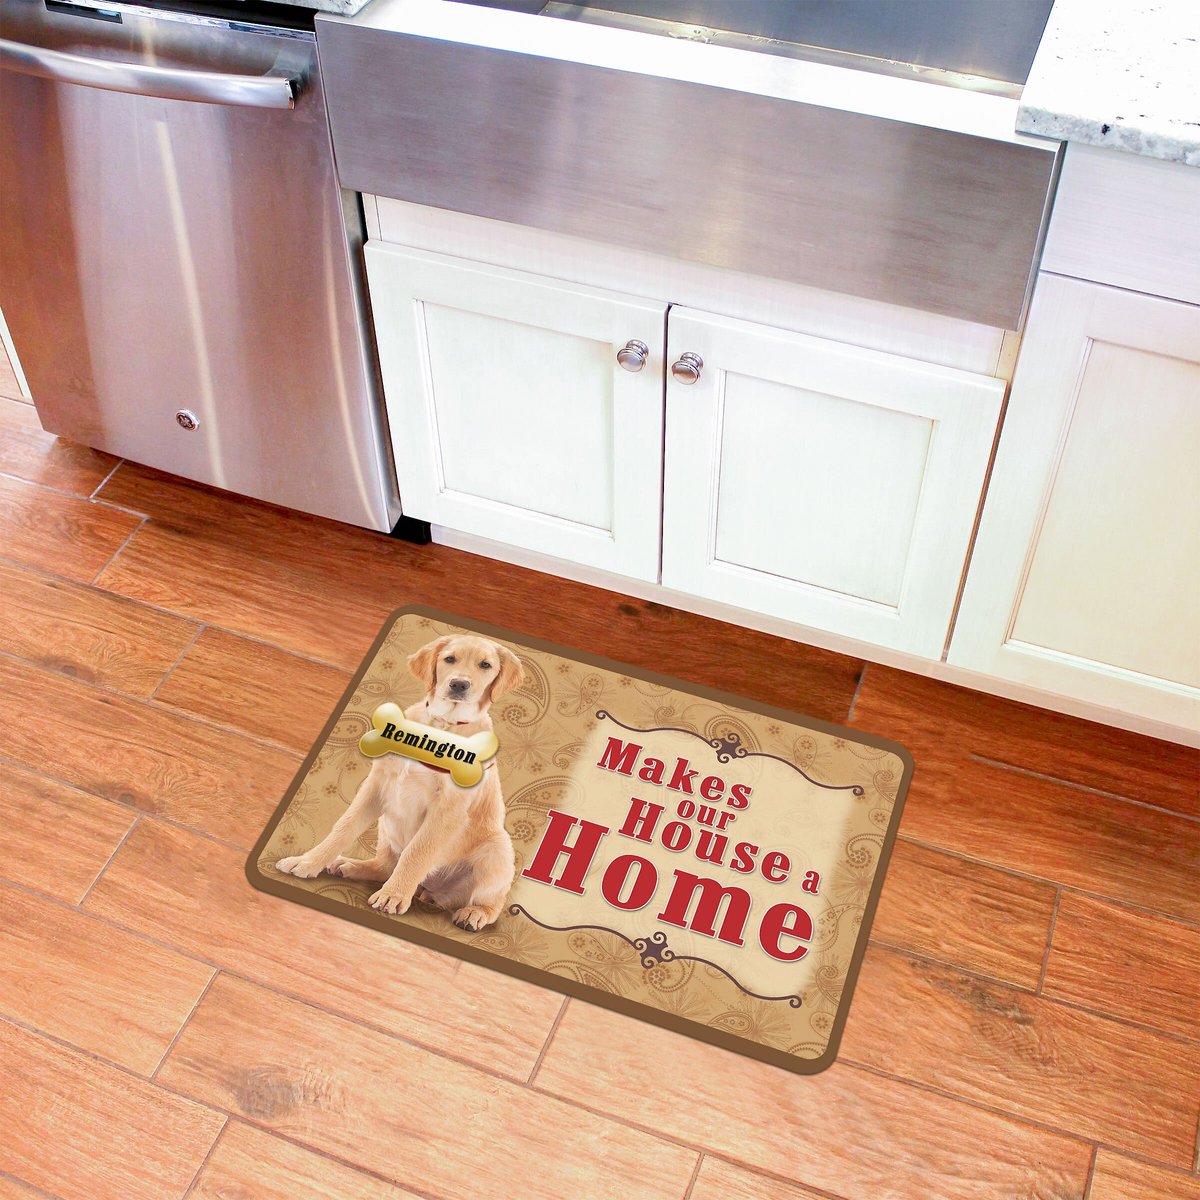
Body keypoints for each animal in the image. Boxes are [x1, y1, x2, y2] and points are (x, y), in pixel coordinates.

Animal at [283, 633, 528, 931]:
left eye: (485, 665)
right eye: (449, 659)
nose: (459, 684)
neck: (440, 727)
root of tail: (431, 891)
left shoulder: (448, 810)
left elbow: (417, 851)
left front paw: (393, 895)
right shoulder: (376, 786)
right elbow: (344, 827)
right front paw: (308, 862)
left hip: (499, 850)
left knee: (493, 900)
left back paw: (474, 913)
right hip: (386, 826)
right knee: (385, 865)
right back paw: (349, 866)